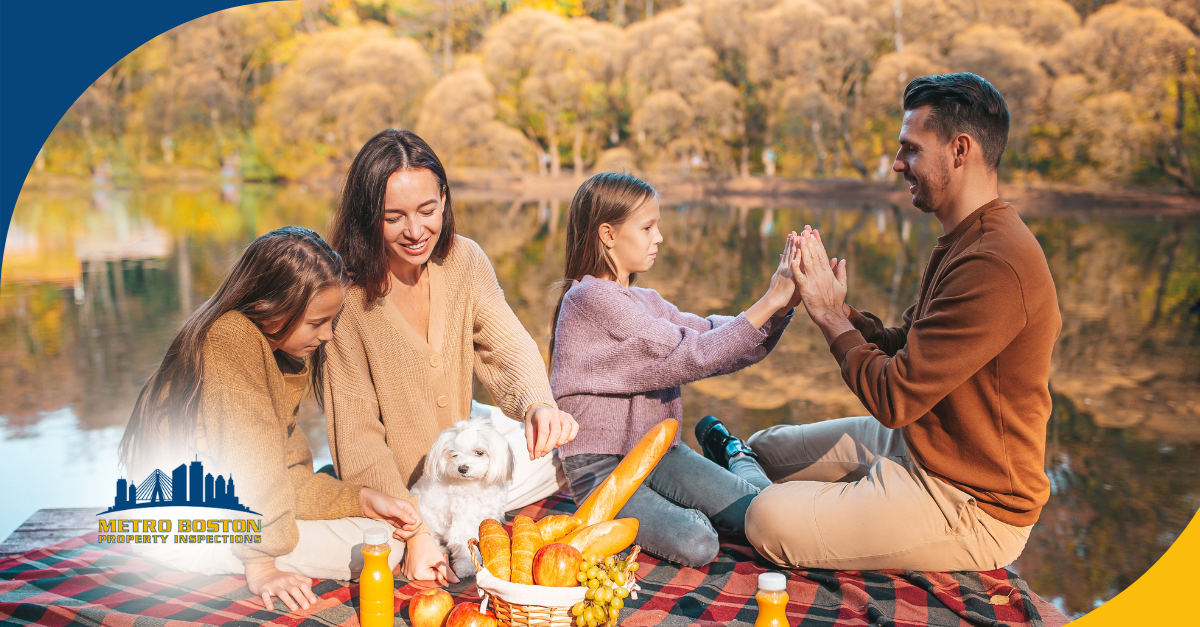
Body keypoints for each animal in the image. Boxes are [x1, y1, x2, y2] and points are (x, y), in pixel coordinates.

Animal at [410, 415, 513, 576]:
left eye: (479, 452)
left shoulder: (489, 514)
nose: (462, 468)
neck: (476, 485)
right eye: (454, 454)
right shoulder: (463, 521)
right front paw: (467, 567)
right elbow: (464, 544)